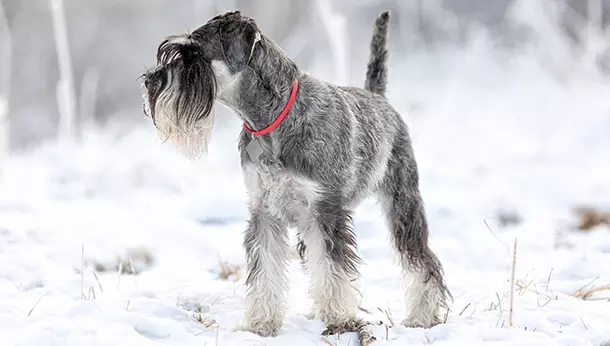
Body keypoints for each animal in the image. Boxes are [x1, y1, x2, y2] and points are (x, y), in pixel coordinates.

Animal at [140, 9, 448, 342]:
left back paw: (422, 316)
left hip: (402, 202)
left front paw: (340, 320)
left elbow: (334, 269)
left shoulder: (325, 212)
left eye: (194, 54)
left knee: (421, 260)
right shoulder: (264, 213)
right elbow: (266, 271)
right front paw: (260, 324)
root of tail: (378, 97)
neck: (272, 120)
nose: (150, 81)